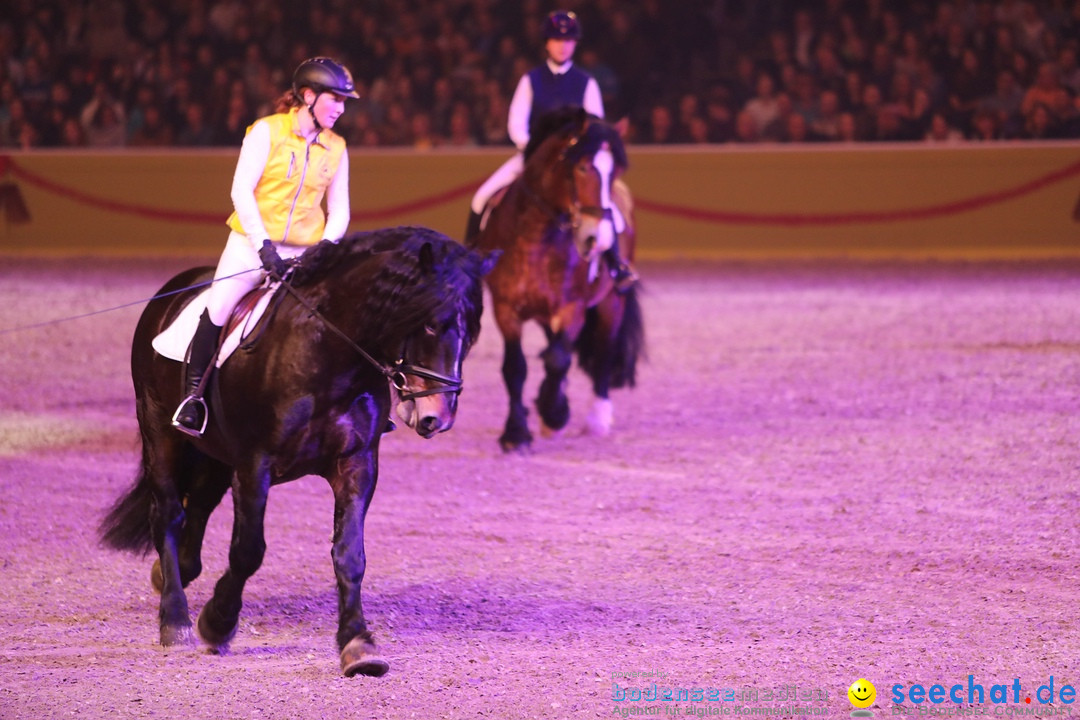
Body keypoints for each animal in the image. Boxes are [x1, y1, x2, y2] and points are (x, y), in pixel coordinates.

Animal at [99, 227, 494, 677]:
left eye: (472, 331)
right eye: (428, 325)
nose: (436, 416)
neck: (328, 357)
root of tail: (170, 294)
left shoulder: (357, 463)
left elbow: (350, 555)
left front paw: (358, 645)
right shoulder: (255, 465)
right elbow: (248, 550)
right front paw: (217, 623)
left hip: (215, 454)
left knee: (197, 504)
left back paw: (174, 572)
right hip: (159, 429)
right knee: (167, 512)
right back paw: (175, 621)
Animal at [468, 107, 643, 453]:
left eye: (615, 171)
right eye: (583, 167)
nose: (598, 240)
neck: (536, 237)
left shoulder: (571, 307)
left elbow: (559, 359)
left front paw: (554, 414)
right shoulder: (506, 308)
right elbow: (515, 368)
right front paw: (516, 433)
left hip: (611, 301)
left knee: (602, 351)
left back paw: (597, 417)